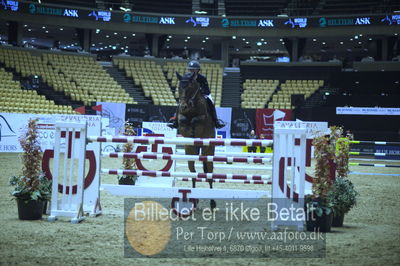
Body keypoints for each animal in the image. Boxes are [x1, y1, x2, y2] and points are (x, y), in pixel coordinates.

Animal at [177, 71, 217, 209]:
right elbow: (183, 120)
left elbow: (197, 119)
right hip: (189, 152)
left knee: (209, 173)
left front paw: (193, 128)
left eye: (190, 88)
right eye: (179, 87)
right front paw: (190, 131)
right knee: (193, 173)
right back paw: (194, 200)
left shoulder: (203, 119)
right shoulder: (181, 118)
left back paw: (212, 202)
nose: (183, 106)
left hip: (209, 150)